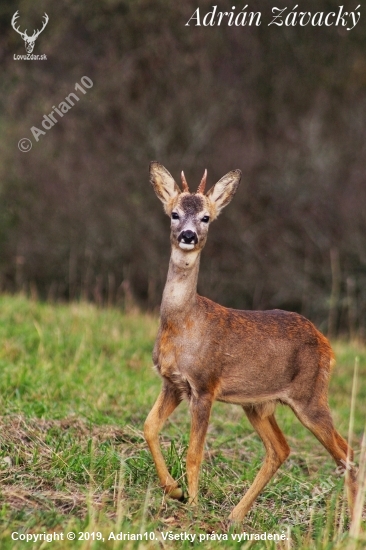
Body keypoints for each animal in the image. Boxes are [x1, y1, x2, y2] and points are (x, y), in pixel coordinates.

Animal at [144, 162, 358, 524]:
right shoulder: (173, 383)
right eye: (174, 213)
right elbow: (148, 427)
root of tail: (326, 343)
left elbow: (194, 452)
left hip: (311, 396)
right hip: (258, 403)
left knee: (348, 454)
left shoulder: (205, 385)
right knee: (280, 448)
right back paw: (235, 515)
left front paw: (193, 505)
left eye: (206, 217)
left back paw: (354, 526)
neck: (183, 323)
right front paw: (173, 490)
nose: (188, 236)